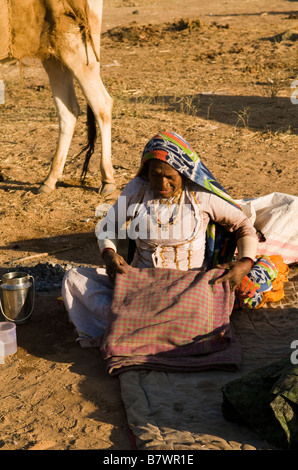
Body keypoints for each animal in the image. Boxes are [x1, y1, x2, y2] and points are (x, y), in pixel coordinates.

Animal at [0, 0, 115, 195]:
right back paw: (50, 180)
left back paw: (107, 180)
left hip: (77, 52)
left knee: (101, 104)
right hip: (54, 55)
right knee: (69, 111)